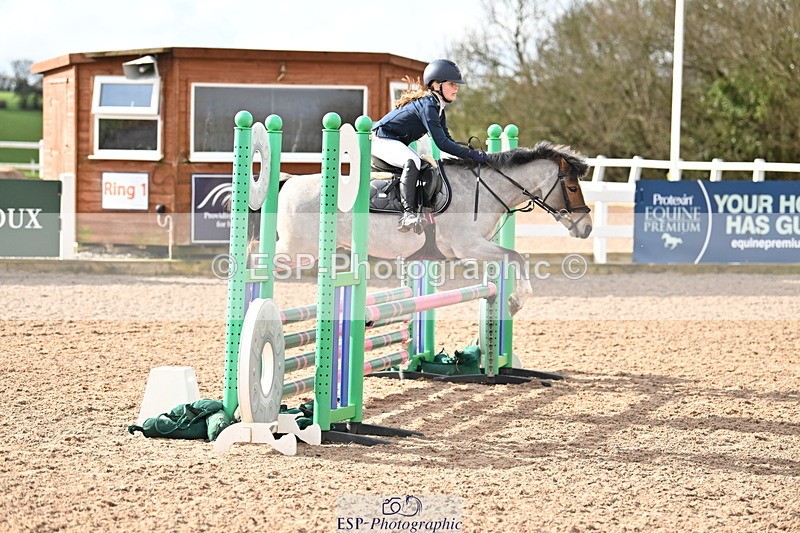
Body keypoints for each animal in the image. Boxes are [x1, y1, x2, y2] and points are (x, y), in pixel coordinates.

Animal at [272, 141, 593, 316]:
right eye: (572, 188)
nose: (587, 228)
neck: (484, 188)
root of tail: (290, 181)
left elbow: (511, 259)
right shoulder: (468, 247)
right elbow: (515, 256)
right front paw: (515, 302)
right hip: (297, 250)